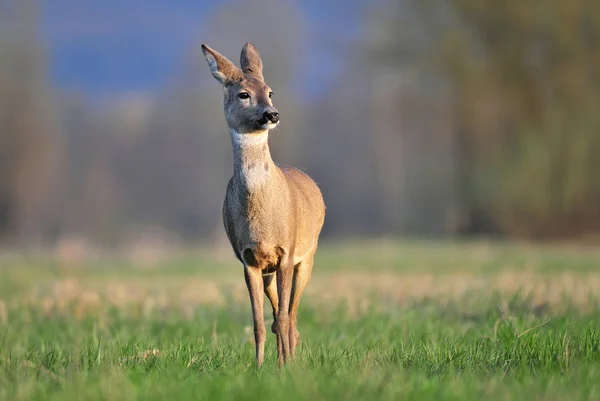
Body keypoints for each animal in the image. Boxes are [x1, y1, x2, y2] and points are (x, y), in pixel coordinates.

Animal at [200, 43, 324, 366]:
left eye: (270, 91)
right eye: (244, 94)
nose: (272, 114)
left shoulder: (286, 252)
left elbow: (283, 318)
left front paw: (285, 368)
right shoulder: (249, 259)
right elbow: (258, 323)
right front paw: (258, 367)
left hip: (308, 255)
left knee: (291, 315)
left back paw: (291, 358)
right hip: (270, 271)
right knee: (279, 314)